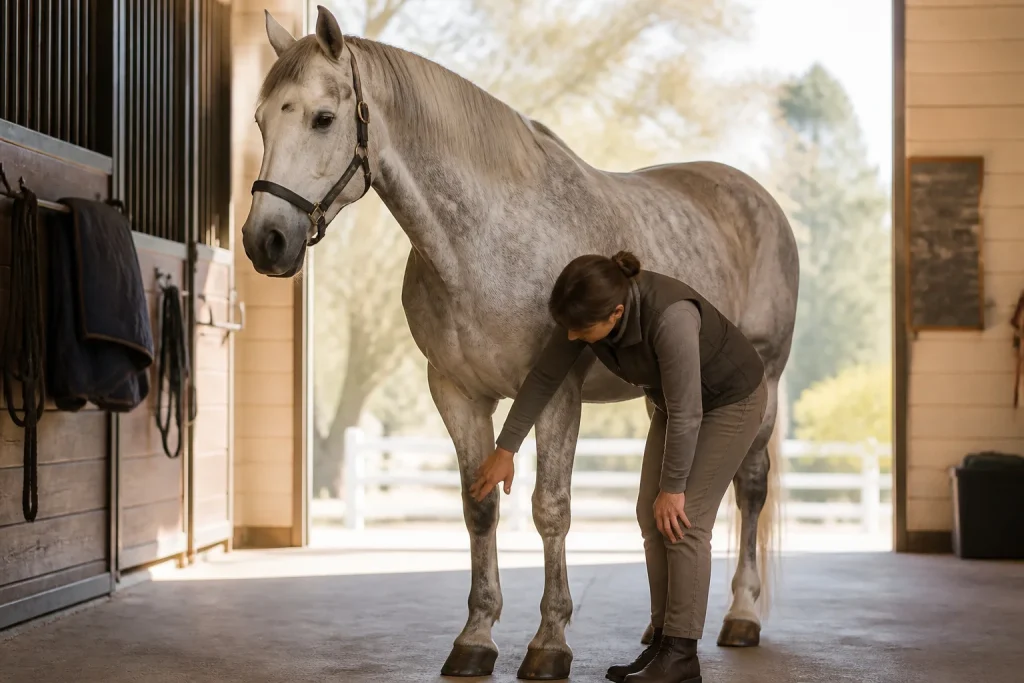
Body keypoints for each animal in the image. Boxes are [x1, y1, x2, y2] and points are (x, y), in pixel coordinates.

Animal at [242, 6, 799, 679]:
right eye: (261, 120)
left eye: (323, 118)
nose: (265, 241)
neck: (484, 238)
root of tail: (757, 199)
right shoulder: (456, 392)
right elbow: (478, 507)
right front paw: (476, 637)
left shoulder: (556, 393)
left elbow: (549, 509)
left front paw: (549, 643)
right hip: (665, 396)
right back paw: (656, 630)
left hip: (763, 385)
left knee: (748, 489)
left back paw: (741, 616)